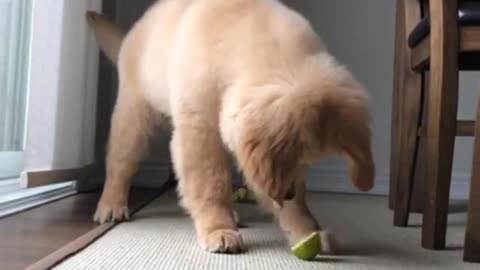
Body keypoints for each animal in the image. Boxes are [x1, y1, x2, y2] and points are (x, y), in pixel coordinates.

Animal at [86, 0, 376, 254]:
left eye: (306, 162)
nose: (288, 194)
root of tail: (135, 30)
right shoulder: (198, 130)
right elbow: (209, 184)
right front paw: (217, 229)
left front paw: (307, 231)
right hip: (134, 114)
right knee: (120, 162)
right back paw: (111, 204)